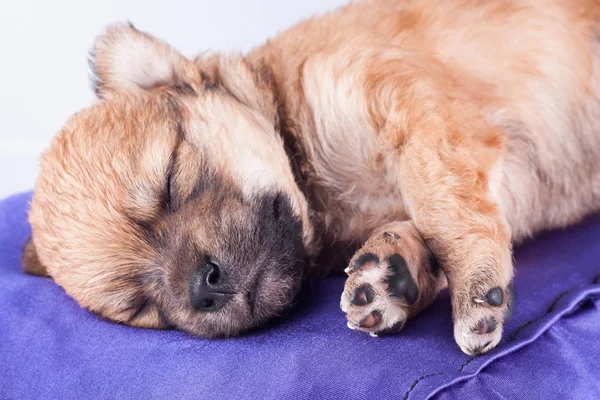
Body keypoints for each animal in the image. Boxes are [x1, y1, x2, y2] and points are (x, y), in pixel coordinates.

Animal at [21, 0, 600, 356]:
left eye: (172, 178)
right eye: (138, 305)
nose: (202, 288)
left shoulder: (418, 112)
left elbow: (439, 202)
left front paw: (475, 285)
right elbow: (427, 222)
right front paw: (394, 275)